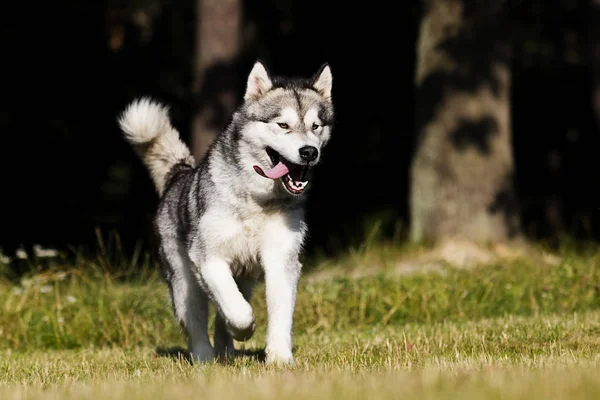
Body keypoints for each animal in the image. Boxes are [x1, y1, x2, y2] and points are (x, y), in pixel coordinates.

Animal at [117, 61, 332, 364]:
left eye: (316, 126)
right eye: (283, 125)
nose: (309, 152)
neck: (257, 199)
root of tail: (180, 175)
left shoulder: (282, 259)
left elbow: (279, 314)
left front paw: (279, 357)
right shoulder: (209, 259)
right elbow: (238, 312)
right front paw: (244, 329)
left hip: (243, 278)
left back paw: (225, 350)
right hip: (185, 283)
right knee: (199, 321)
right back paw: (205, 358)